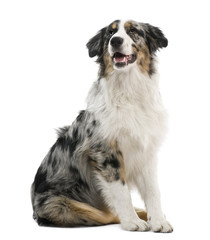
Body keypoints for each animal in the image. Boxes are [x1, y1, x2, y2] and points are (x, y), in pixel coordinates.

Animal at [30, 19, 172, 232]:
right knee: (109, 214)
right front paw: (132, 222)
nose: (116, 41)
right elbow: (121, 191)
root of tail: (34, 208)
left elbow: (153, 191)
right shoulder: (105, 152)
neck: (129, 89)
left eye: (133, 30)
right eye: (110, 34)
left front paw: (158, 221)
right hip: (68, 207)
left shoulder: (146, 151)